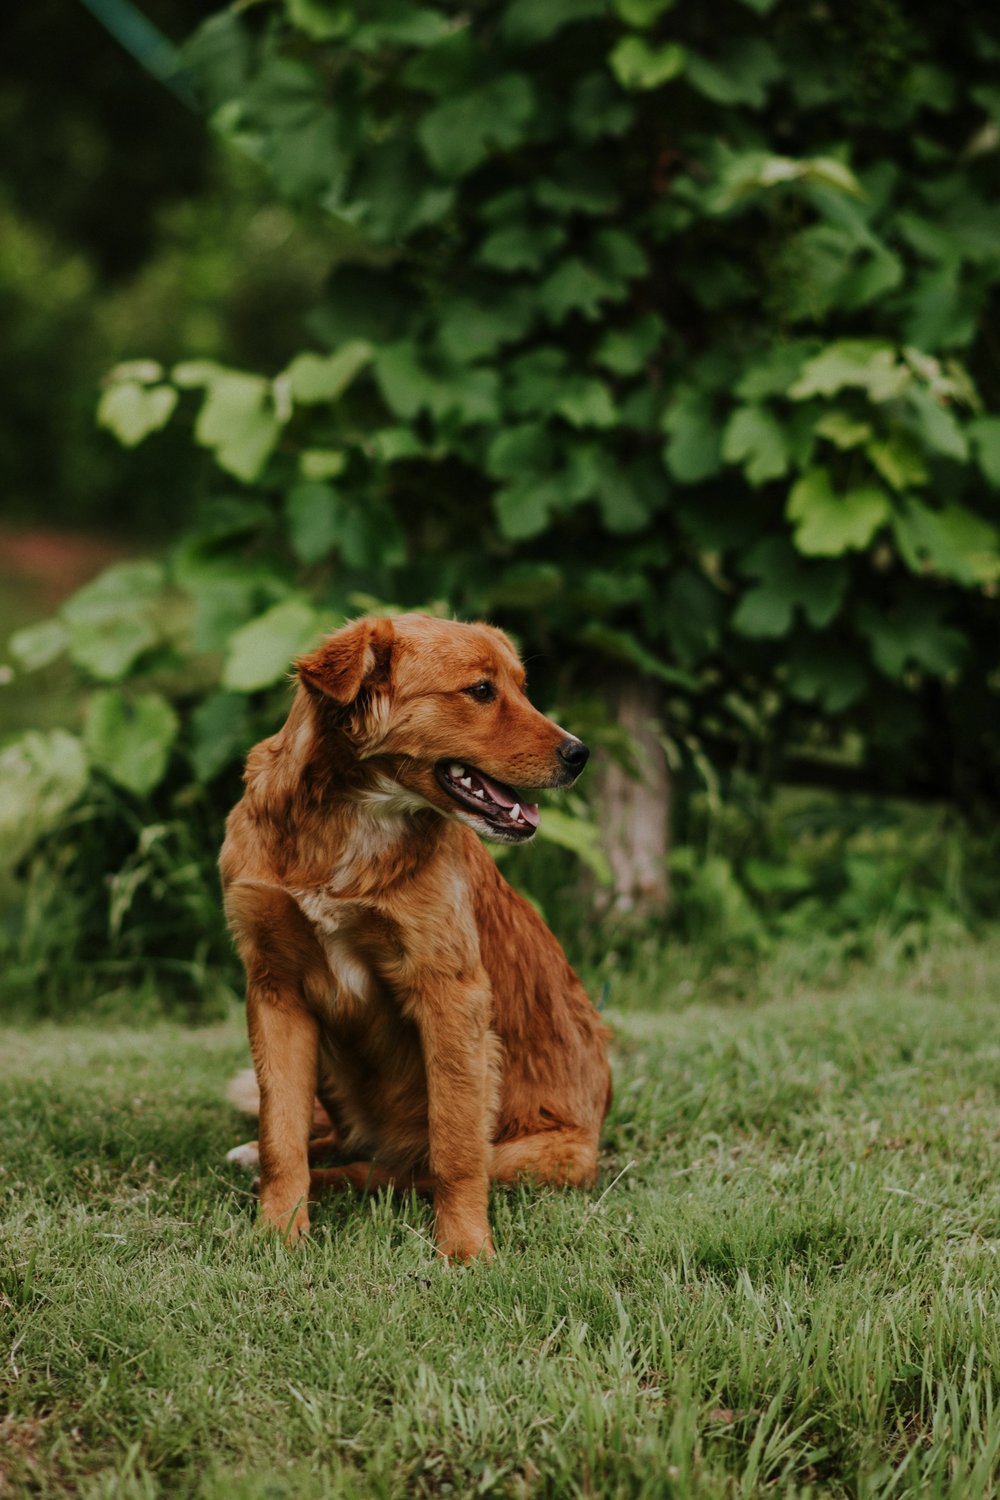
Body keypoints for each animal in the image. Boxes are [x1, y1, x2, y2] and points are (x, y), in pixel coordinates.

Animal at [220, 615, 611, 1260]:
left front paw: (466, 1249)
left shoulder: (450, 994)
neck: (349, 822)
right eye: (481, 691)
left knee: (400, 1169)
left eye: (522, 688)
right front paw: (277, 1232)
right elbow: (281, 1132)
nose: (580, 754)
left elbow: (455, 1148)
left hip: (541, 1155)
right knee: (340, 1139)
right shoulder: (275, 991)